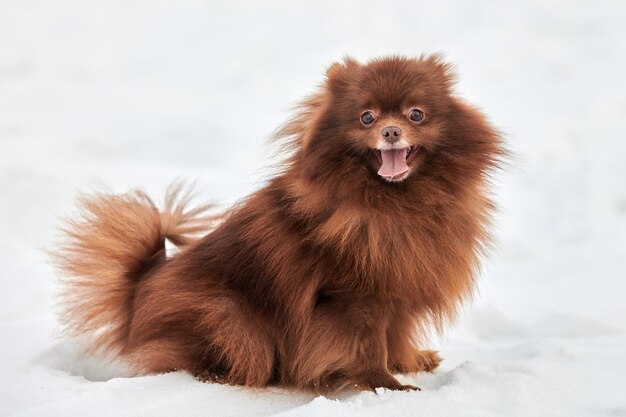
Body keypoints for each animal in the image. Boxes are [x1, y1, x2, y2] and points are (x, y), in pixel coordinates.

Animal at [52, 54, 502, 390]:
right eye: (367, 118)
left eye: (416, 114)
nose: (392, 131)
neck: (394, 205)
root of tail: (139, 294)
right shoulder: (355, 297)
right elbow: (370, 345)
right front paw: (385, 386)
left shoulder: (399, 285)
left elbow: (396, 334)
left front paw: (409, 362)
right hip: (228, 315)